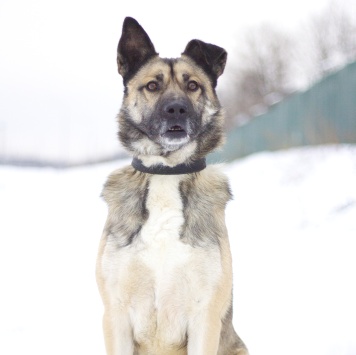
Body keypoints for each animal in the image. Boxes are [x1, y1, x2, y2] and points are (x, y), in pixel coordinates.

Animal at [96, 17, 249, 355]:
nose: (176, 110)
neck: (166, 173)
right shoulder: (116, 314)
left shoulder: (205, 316)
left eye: (192, 85)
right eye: (152, 86)